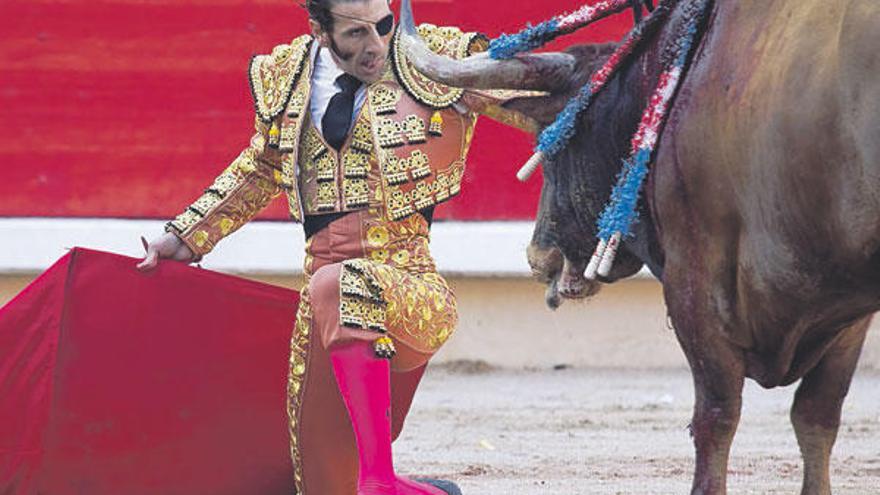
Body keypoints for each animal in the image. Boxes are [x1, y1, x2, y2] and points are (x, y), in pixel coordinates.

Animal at [400, 0, 880, 494]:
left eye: (551, 146)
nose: (538, 257)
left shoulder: (697, 287)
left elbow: (718, 418)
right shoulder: (843, 308)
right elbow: (815, 418)